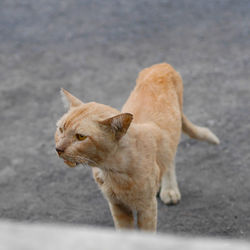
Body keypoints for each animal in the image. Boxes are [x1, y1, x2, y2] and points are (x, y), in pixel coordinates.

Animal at [54, 63, 219, 231]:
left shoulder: (147, 208)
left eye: (80, 137)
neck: (113, 170)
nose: (58, 149)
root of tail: (162, 65)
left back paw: (169, 189)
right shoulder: (117, 206)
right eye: (61, 129)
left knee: (170, 158)